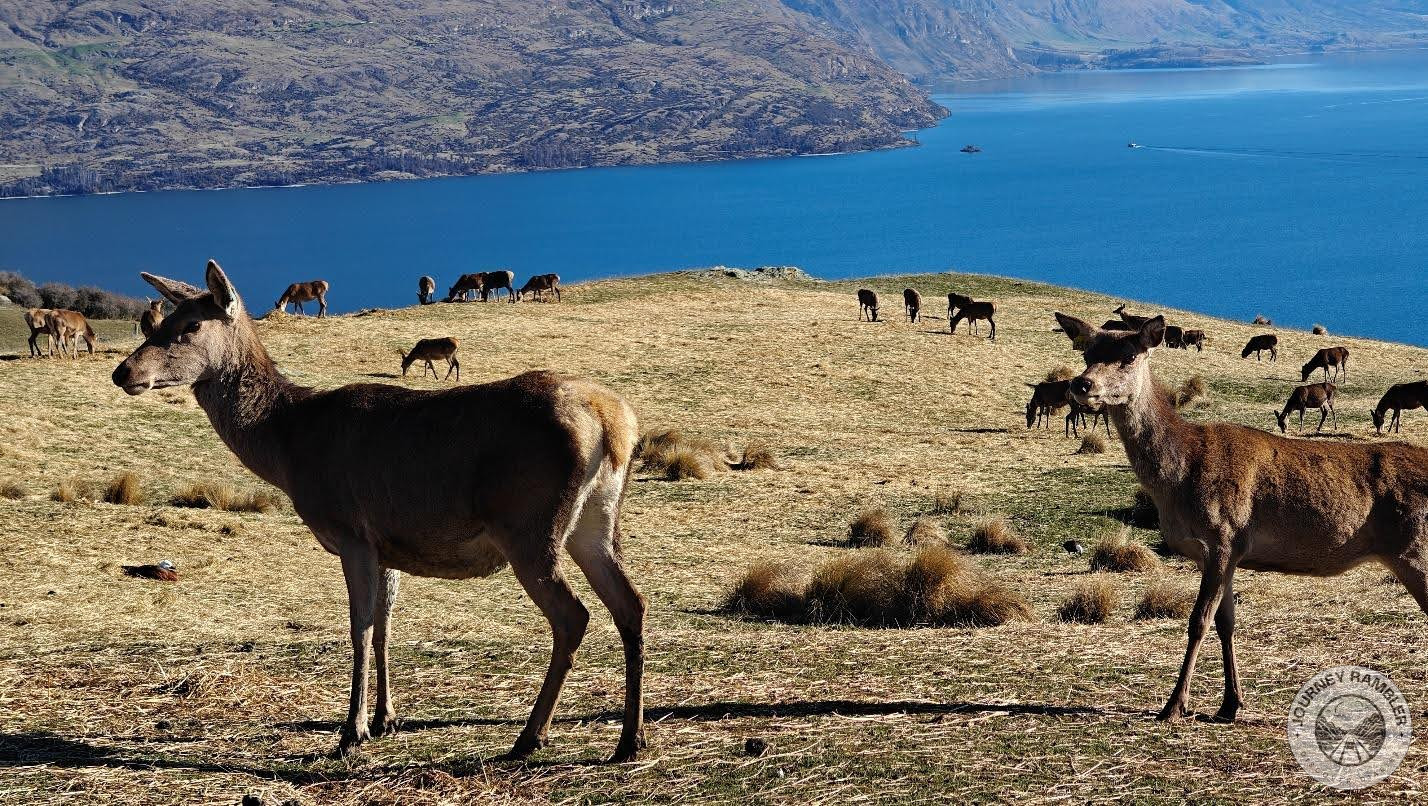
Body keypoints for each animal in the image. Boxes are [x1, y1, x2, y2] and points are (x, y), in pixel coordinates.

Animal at [112, 260, 647, 763]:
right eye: (158, 322)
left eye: (189, 326)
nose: (123, 373)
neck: (288, 446)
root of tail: (615, 423)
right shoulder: (388, 543)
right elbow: (386, 625)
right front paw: (387, 717)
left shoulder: (351, 531)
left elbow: (360, 627)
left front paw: (352, 730)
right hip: (594, 522)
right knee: (631, 603)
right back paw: (629, 740)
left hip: (529, 525)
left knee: (573, 615)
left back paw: (531, 736)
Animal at [1055, 311, 1428, 725]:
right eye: (1087, 352)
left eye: (1129, 356)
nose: (1081, 383)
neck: (1179, 479)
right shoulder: (1228, 553)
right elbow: (1226, 621)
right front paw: (1229, 704)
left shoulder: (1223, 534)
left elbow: (1198, 621)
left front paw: (1173, 706)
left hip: (1413, 548)